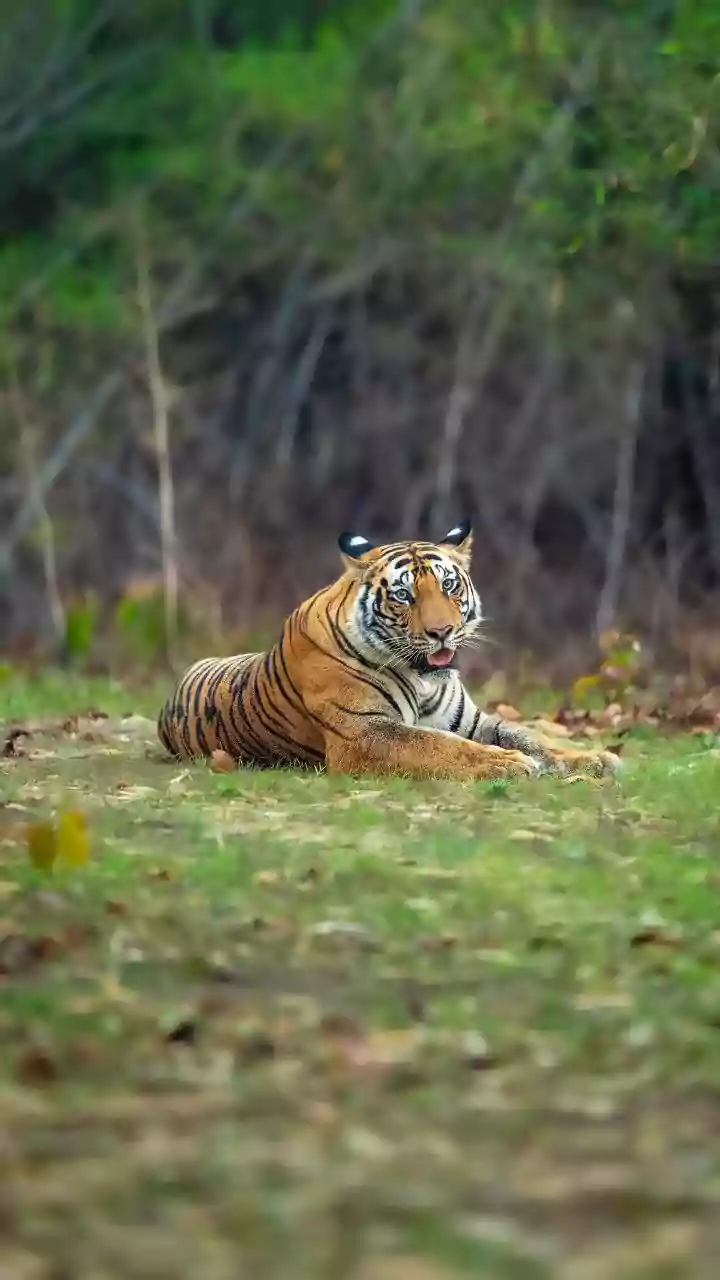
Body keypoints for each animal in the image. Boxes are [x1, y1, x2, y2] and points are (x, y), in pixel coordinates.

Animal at [157, 521, 620, 782]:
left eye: (448, 585)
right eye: (403, 595)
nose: (442, 632)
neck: (423, 680)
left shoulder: (472, 721)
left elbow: (532, 736)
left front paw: (595, 758)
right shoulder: (365, 732)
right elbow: (437, 746)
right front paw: (508, 765)